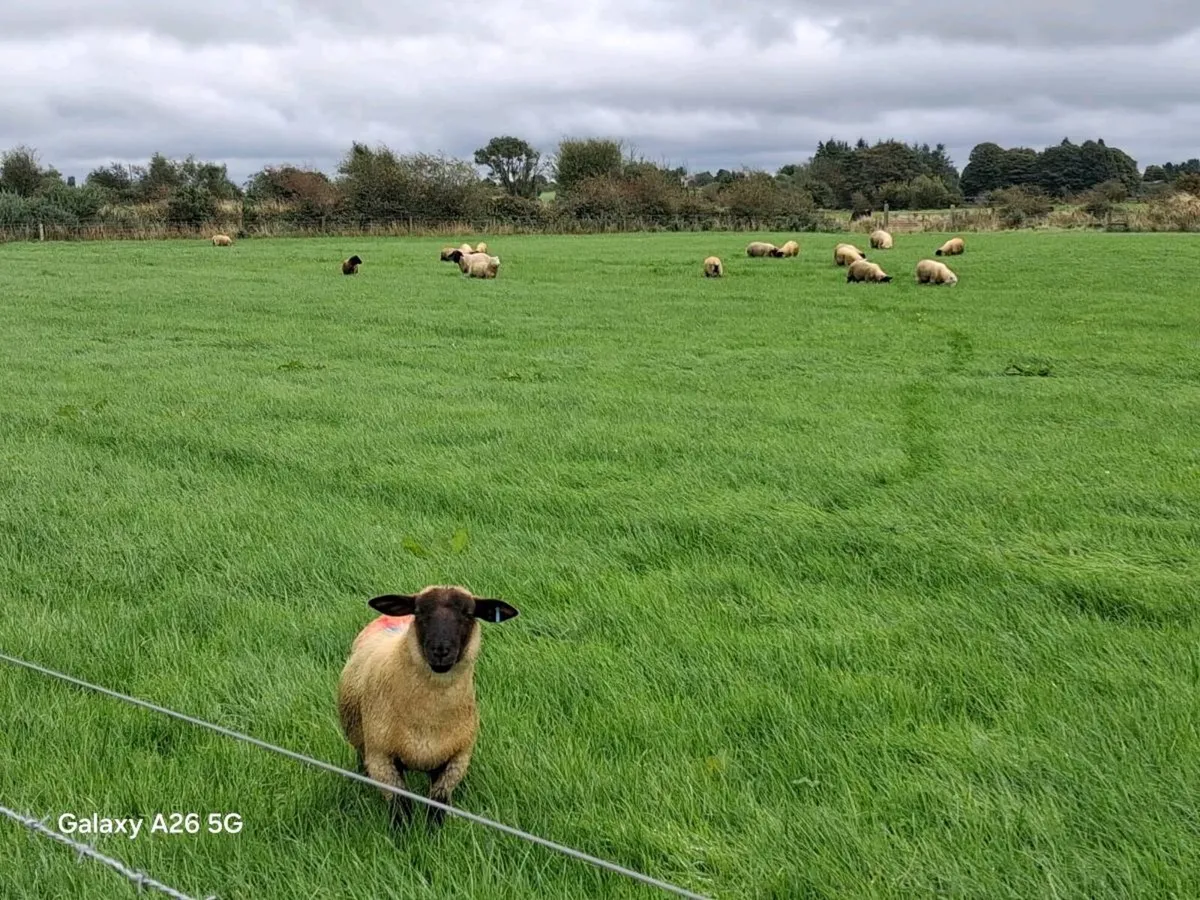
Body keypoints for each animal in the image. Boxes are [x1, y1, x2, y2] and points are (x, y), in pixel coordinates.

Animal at [337, 585, 520, 825]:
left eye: (468, 614)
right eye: (420, 612)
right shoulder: (380, 757)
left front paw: (434, 832)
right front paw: (402, 833)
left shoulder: (458, 758)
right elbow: (401, 805)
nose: (440, 650)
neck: (428, 720)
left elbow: (437, 803)